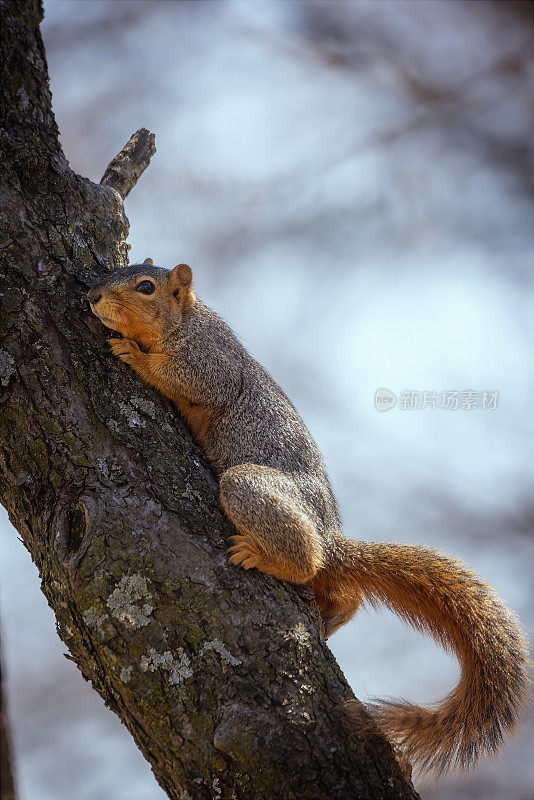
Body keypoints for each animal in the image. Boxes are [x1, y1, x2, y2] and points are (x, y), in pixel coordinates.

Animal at [89, 260, 532, 780]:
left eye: (146, 287)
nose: (93, 296)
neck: (186, 321)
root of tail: (330, 536)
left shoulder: (210, 362)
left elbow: (185, 379)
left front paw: (132, 355)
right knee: (343, 591)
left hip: (252, 487)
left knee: (307, 559)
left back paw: (265, 557)